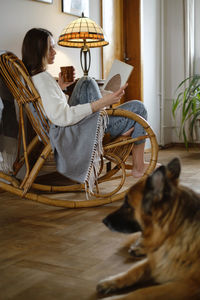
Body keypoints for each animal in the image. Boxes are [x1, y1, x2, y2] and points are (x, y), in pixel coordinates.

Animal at [96, 158, 200, 298]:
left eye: (127, 204)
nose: (104, 221)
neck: (173, 231)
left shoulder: (188, 286)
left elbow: (143, 292)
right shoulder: (156, 261)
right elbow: (134, 270)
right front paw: (110, 282)